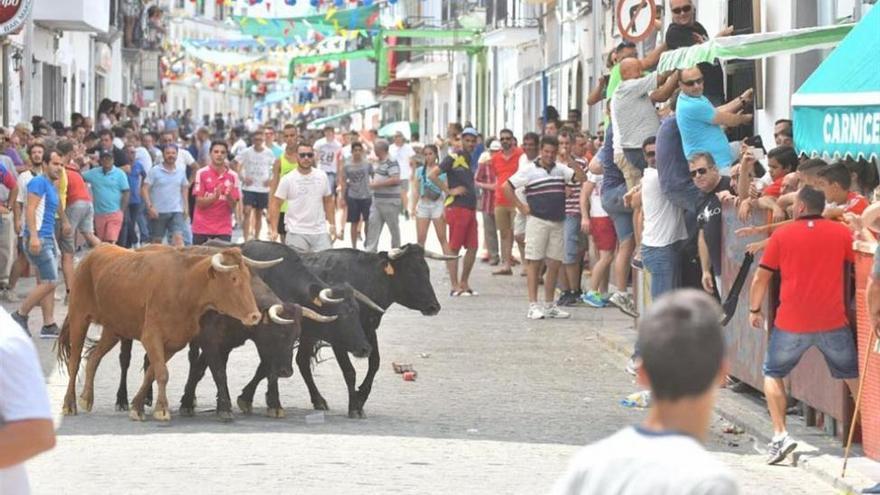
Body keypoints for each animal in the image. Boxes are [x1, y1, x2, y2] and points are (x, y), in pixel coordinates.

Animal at [58, 244, 272, 422]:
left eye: (248, 277)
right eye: (234, 278)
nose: (254, 315)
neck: (184, 286)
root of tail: (93, 252)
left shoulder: (173, 343)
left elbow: (152, 373)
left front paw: (137, 406)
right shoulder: (151, 337)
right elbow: (162, 373)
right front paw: (161, 409)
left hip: (113, 330)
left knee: (94, 358)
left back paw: (87, 398)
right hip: (79, 318)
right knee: (75, 362)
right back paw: (69, 404)